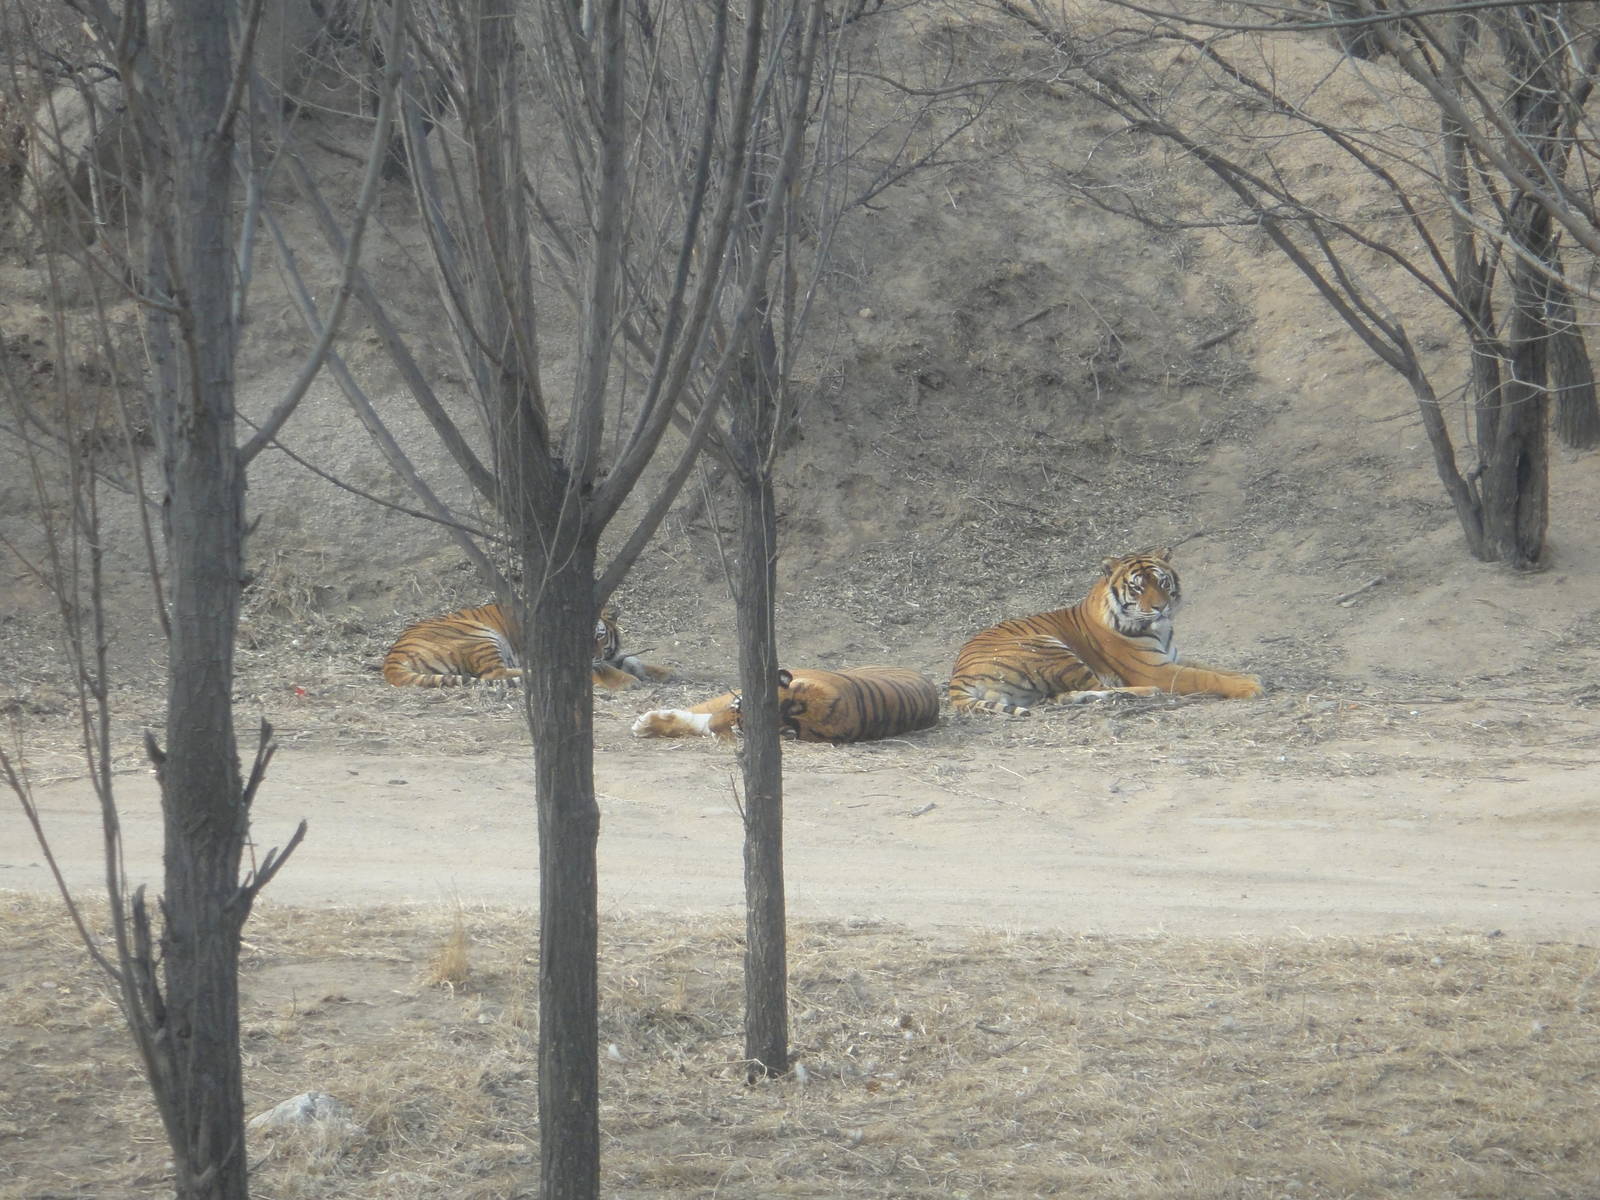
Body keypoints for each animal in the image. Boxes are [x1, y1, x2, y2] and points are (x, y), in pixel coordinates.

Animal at [382, 602, 671, 689]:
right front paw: (628, 681)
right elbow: (607, 670)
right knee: (494, 673)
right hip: (479, 634)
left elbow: (631, 659)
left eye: (598, 636)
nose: (590, 656)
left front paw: (664, 673)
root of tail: (391, 658)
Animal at [948, 548, 1264, 716]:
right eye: (1137, 588)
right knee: (1102, 686)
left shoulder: (1172, 657)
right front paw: (1249, 686)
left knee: (1069, 694)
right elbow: (1205, 676)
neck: (1161, 630)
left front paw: (1249, 676)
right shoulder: (1157, 670)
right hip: (1048, 646)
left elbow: (1213, 668)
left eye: (1162, 582)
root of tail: (958, 676)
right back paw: (1146, 692)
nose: (1161, 608)